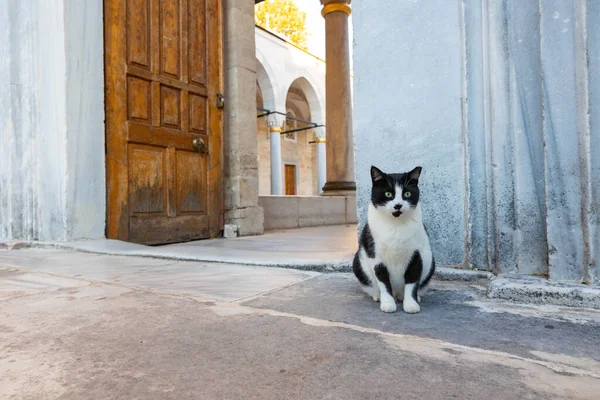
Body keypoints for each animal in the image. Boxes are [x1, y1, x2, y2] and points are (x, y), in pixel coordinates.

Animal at [352, 165, 436, 312]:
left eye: (407, 194)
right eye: (388, 194)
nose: (398, 205)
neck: (395, 225)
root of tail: (397, 293)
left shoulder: (417, 254)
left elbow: (412, 282)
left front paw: (411, 304)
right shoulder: (376, 257)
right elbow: (384, 283)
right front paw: (388, 303)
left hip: (430, 260)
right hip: (358, 262)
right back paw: (378, 296)